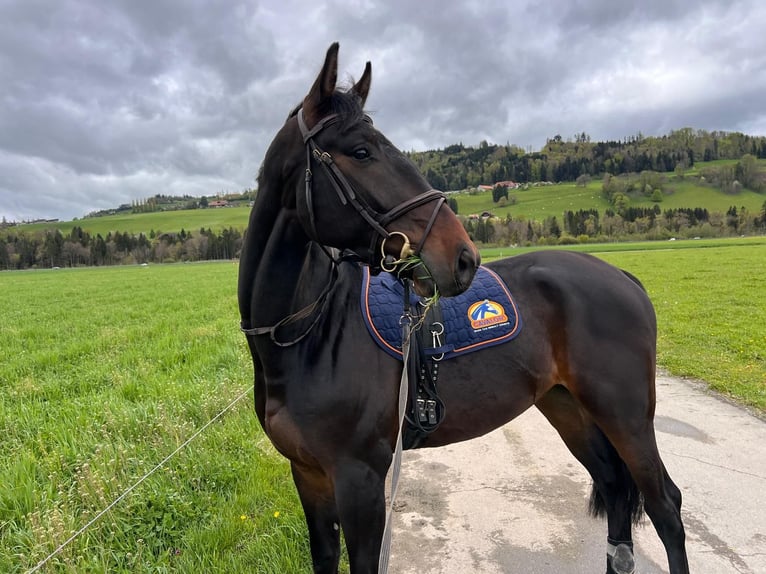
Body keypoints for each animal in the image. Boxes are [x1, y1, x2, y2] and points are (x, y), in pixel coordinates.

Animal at [238, 43, 688, 574]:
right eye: (362, 151)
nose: (463, 256)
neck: (311, 334)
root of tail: (622, 275)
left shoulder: (360, 482)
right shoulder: (308, 475)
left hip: (626, 416)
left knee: (664, 505)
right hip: (569, 408)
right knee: (616, 488)